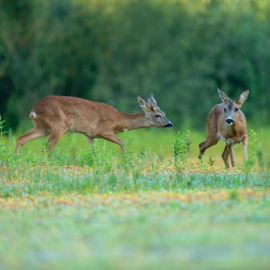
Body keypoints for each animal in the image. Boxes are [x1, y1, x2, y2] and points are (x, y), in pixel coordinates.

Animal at [15, 94, 174, 153]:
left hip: (42, 127)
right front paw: (126, 160)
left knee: (20, 138)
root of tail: (34, 110)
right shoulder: (101, 130)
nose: (170, 124)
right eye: (157, 115)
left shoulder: (89, 135)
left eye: (164, 112)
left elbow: (91, 151)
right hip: (60, 124)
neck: (119, 120)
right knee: (47, 149)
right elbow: (123, 142)